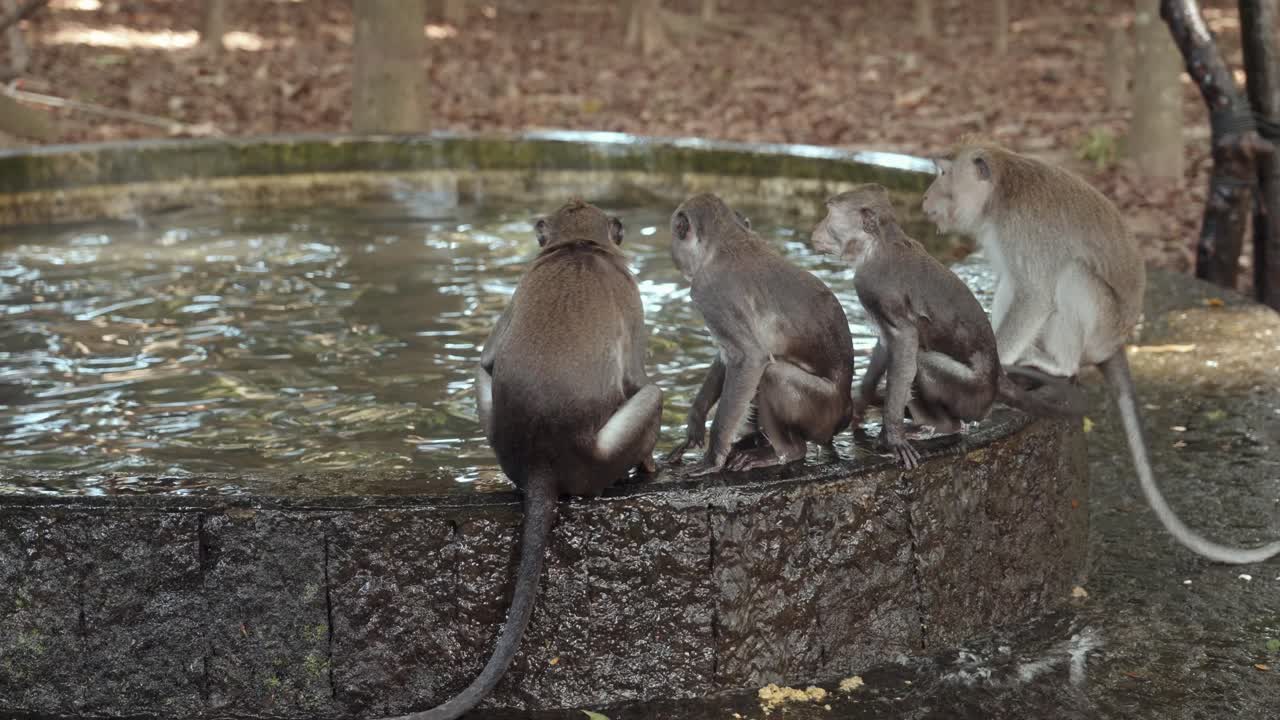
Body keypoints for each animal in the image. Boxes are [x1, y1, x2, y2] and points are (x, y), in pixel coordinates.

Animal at [392, 200, 663, 720]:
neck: (577, 246)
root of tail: (542, 463)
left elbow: (486, 360)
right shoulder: (631, 297)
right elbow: (637, 379)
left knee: (482, 374)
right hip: (601, 457)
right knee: (652, 394)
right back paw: (641, 467)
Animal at [663, 193, 854, 474]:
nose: (673, 254)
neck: (726, 240)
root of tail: (846, 410)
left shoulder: (708, 292)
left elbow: (748, 357)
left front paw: (712, 457)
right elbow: (727, 355)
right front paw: (695, 421)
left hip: (821, 413)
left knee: (773, 376)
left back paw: (785, 452)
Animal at [810, 184, 1087, 469]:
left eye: (829, 213)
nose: (816, 229)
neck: (879, 243)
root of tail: (997, 375)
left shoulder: (872, 284)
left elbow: (904, 343)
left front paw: (893, 436)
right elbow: (888, 343)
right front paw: (863, 400)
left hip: (969, 395)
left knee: (921, 362)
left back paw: (945, 426)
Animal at [922, 140, 1280, 564]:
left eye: (943, 174)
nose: (926, 197)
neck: (1001, 194)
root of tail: (1117, 342)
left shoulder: (1026, 231)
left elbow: (1036, 294)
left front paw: (985, 370)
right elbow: (1017, 286)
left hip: (1101, 328)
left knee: (1071, 276)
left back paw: (1057, 364)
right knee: (1013, 280)